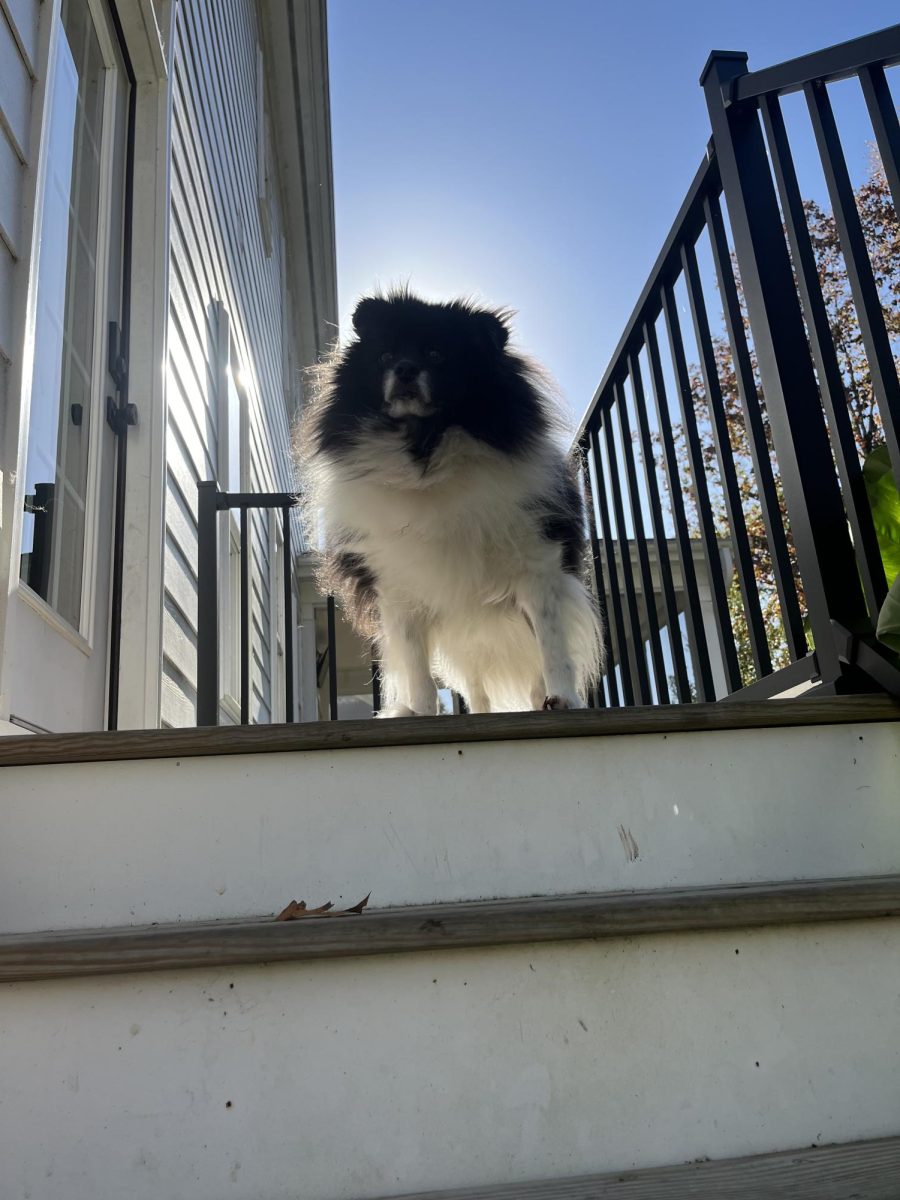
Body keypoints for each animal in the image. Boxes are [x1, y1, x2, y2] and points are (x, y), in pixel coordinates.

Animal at [301, 291, 607, 715]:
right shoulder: (396, 587)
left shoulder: (537, 565)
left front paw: (563, 698)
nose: (405, 368)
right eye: (384, 356)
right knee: (475, 689)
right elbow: (417, 670)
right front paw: (420, 713)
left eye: (436, 354)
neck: (425, 450)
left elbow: (552, 646)